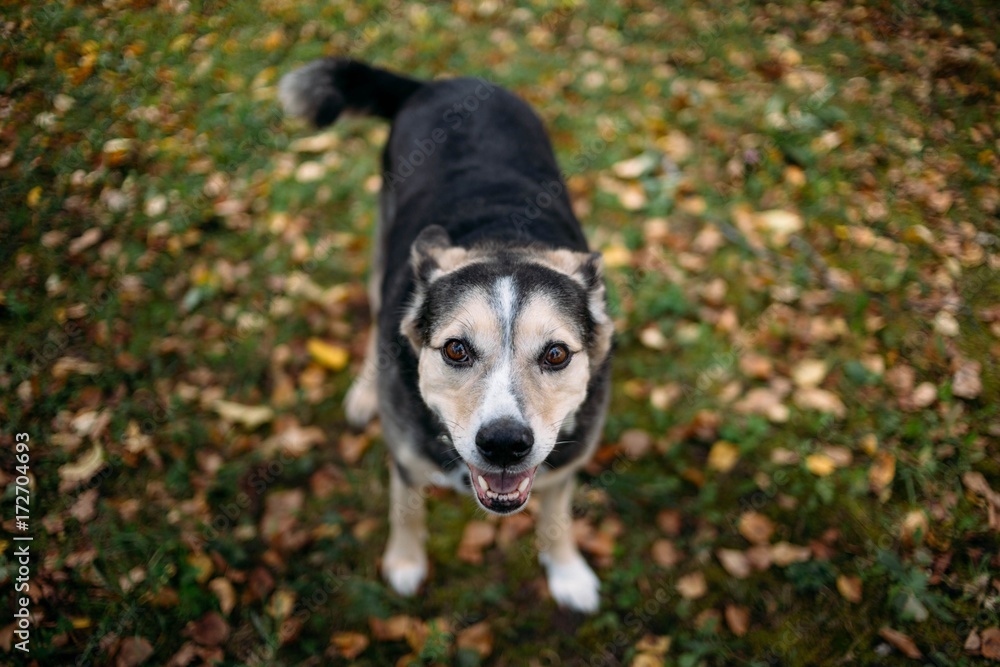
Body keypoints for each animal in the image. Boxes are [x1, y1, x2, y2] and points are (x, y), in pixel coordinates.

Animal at [278, 60, 612, 612]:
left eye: (556, 354)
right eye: (456, 349)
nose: (504, 445)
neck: (503, 241)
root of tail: (443, 83)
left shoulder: (566, 466)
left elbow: (556, 516)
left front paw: (567, 572)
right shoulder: (405, 459)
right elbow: (406, 509)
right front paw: (405, 564)